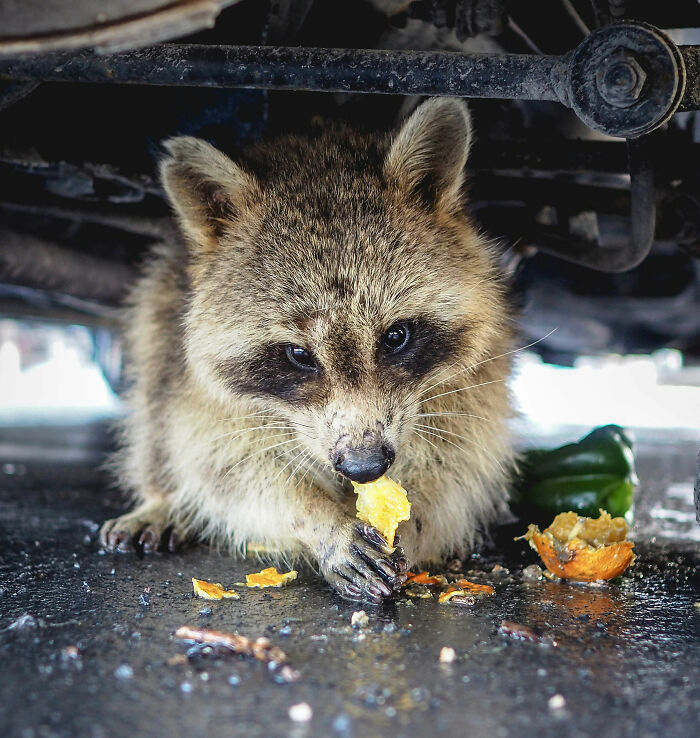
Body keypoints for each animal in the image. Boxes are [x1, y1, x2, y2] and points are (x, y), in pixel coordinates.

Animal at [100, 98, 515, 603]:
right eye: (299, 355)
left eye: (396, 336)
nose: (364, 465)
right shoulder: (203, 393)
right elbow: (228, 470)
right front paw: (319, 520)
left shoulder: (475, 381)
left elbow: (459, 464)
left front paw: (414, 518)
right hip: (161, 307)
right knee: (155, 410)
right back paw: (163, 499)